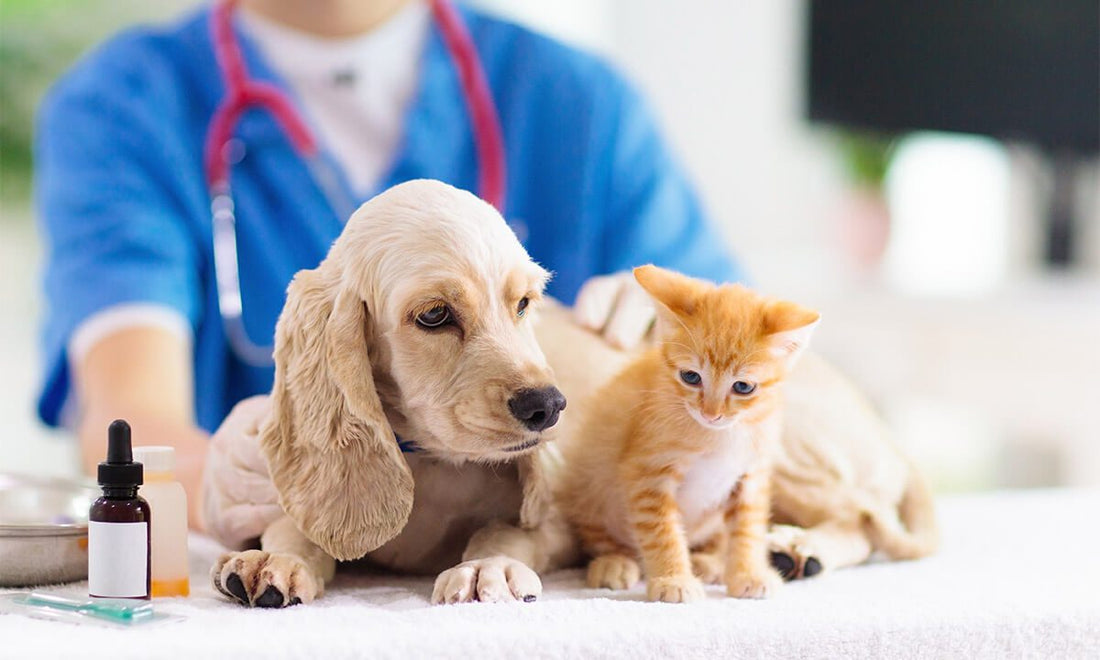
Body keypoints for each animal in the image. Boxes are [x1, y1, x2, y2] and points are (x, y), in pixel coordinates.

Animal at [558, 264, 818, 602]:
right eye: (691, 377)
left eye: (743, 387)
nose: (711, 413)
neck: (722, 436)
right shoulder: (647, 474)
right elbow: (662, 532)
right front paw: (674, 580)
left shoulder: (751, 476)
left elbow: (747, 528)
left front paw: (748, 573)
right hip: (590, 484)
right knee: (599, 532)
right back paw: (614, 562)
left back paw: (709, 562)